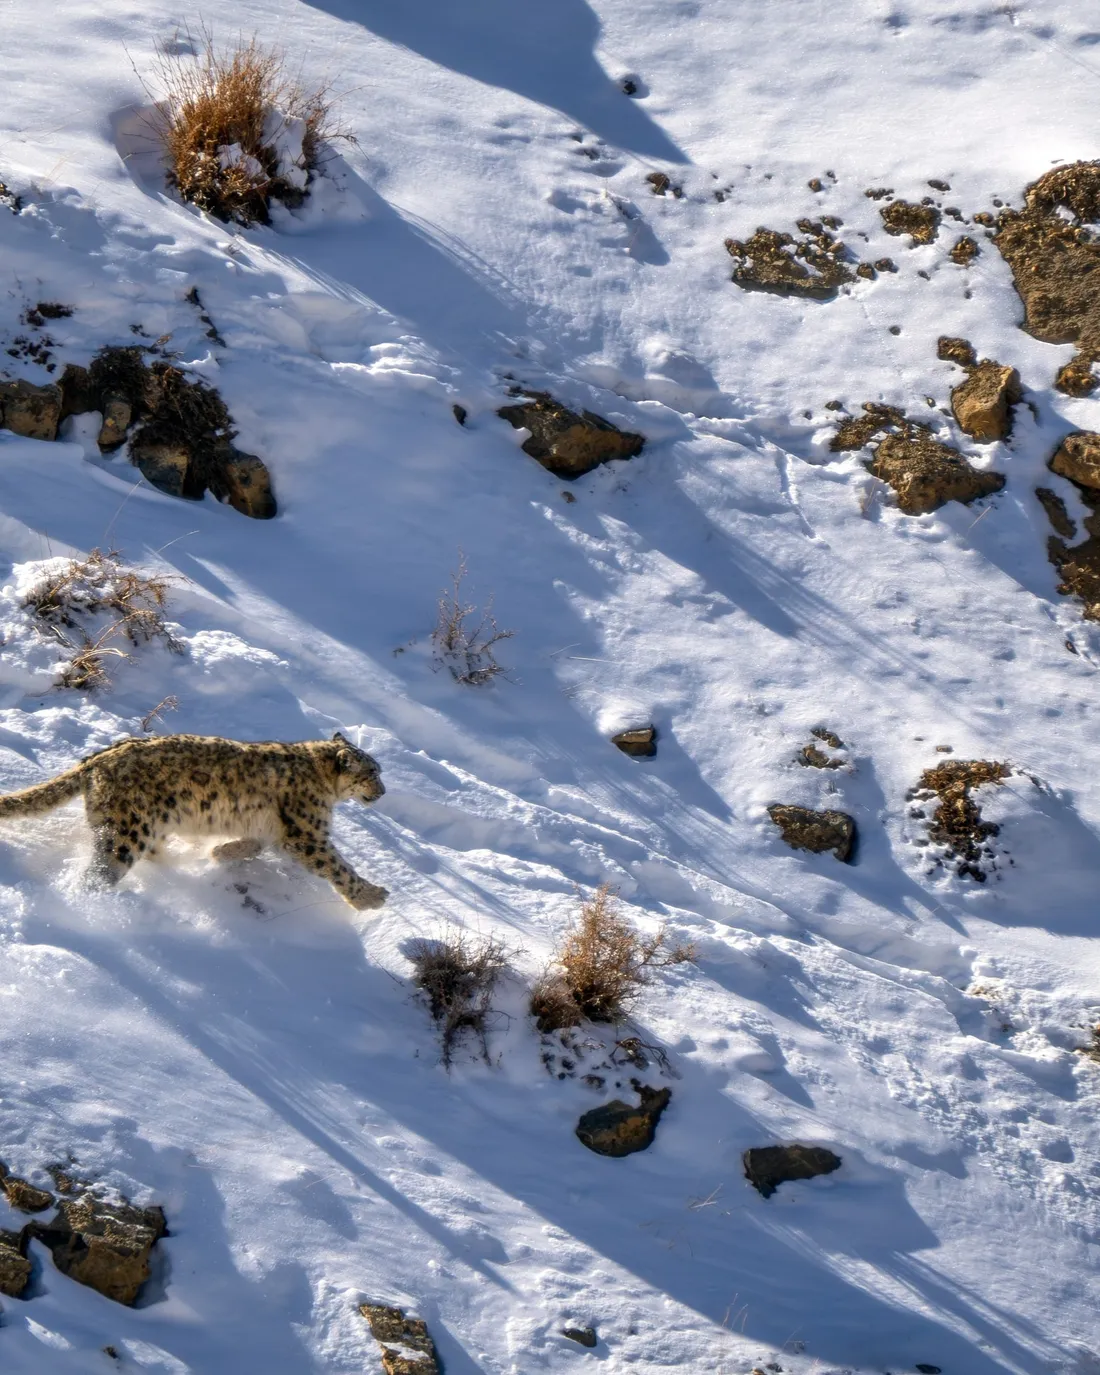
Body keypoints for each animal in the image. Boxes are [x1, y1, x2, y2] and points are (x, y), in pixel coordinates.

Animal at [0, 731, 388, 909]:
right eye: (372, 772)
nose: (383, 791)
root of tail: (94, 760)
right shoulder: (308, 835)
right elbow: (337, 866)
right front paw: (371, 896)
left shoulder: (271, 830)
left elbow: (253, 843)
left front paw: (221, 853)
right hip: (126, 834)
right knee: (97, 875)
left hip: (145, 826)